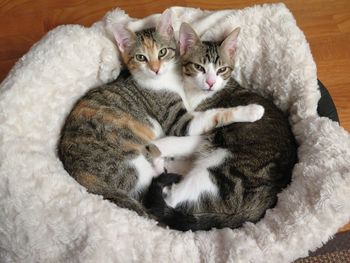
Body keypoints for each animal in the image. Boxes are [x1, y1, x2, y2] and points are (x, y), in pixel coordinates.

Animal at [58, 10, 266, 217]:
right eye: (141, 57)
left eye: (162, 52)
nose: (156, 69)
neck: (171, 78)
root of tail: (77, 174)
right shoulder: (178, 121)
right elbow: (214, 115)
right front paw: (252, 110)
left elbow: (191, 26)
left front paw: (221, 14)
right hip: (132, 163)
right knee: (153, 190)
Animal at [144, 23, 296, 232]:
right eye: (199, 67)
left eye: (221, 70)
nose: (210, 82)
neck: (198, 94)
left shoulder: (204, 131)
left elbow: (181, 139)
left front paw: (160, 145)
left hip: (218, 171)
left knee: (172, 196)